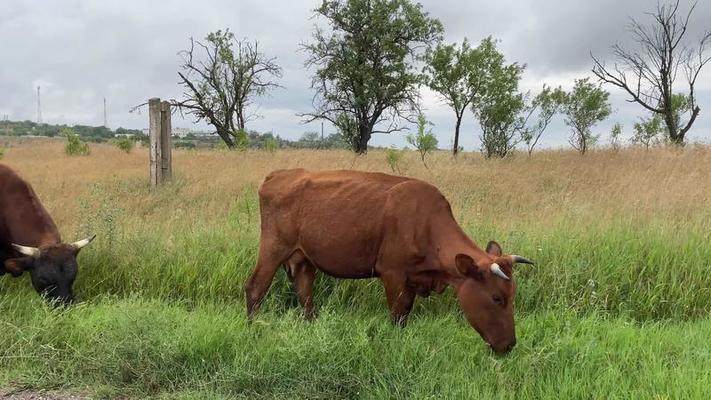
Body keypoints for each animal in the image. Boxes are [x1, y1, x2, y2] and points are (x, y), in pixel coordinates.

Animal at [245, 169, 536, 354]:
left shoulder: (412, 281)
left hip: (304, 259)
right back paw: (253, 330)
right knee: (255, 287)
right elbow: (396, 316)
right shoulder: (393, 274)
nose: (510, 345)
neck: (427, 224)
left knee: (305, 296)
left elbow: (405, 314)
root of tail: (278, 174)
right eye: (497, 298)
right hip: (272, 248)